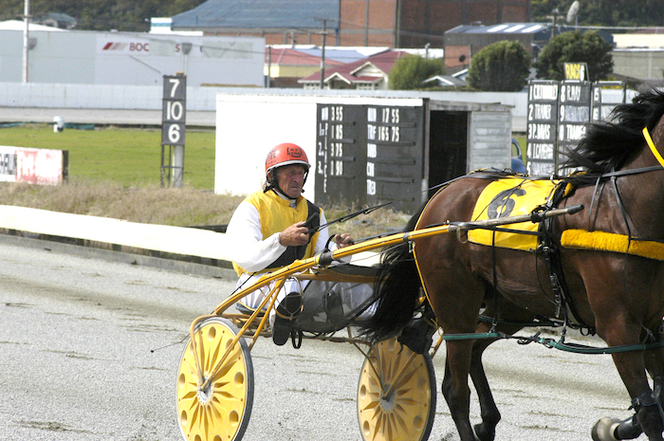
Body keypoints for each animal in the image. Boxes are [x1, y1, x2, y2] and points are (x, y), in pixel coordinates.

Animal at [364, 87, 664, 438]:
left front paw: (613, 426)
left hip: (511, 304)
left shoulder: (652, 328)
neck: (624, 210)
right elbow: (650, 412)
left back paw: (487, 420)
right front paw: (615, 425)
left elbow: (656, 400)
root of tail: (441, 196)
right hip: (455, 303)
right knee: (455, 388)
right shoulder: (619, 327)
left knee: (474, 349)